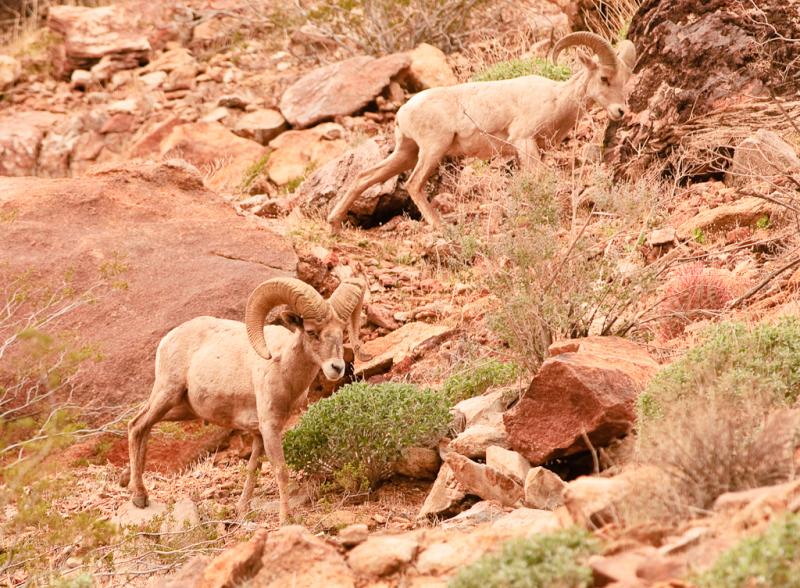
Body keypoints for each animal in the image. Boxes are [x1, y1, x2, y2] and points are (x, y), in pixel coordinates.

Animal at [119, 276, 366, 524]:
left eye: (341, 331)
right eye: (311, 332)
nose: (336, 368)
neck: (284, 369)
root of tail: (167, 339)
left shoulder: (259, 433)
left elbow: (253, 468)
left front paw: (242, 509)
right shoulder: (269, 427)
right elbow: (280, 470)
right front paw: (285, 519)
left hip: (181, 408)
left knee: (143, 426)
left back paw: (134, 488)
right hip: (167, 393)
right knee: (137, 426)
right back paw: (139, 497)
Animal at [327, 32, 636, 231]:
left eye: (624, 80)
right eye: (604, 78)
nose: (621, 112)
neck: (557, 99)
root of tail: (403, 112)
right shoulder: (524, 141)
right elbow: (542, 179)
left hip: (406, 152)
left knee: (364, 177)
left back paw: (333, 223)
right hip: (432, 150)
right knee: (413, 184)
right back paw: (440, 226)